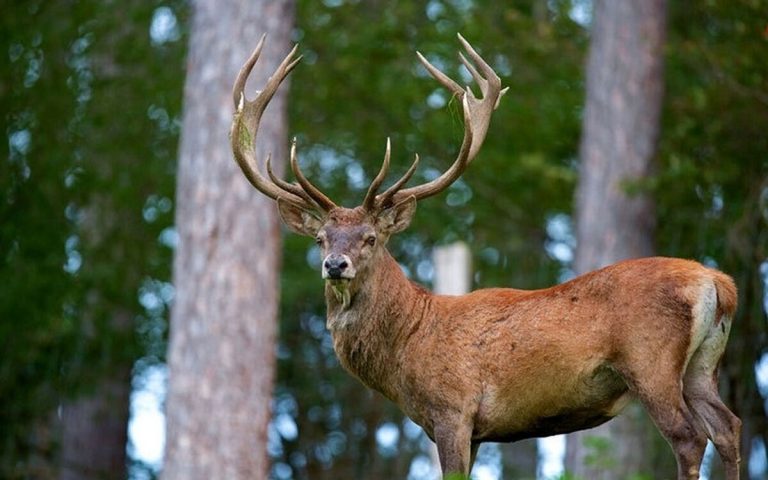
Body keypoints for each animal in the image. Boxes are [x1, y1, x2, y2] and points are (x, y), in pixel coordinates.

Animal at [231, 34, 740, 480]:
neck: (408, 346)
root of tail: (719, 284)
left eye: (371, 237)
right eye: (321, 239)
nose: (335, 265)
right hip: (702, 367)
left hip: (650, 361)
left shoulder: (453, 410)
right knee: (729, 428)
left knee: (689, 438)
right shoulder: (474, 430)